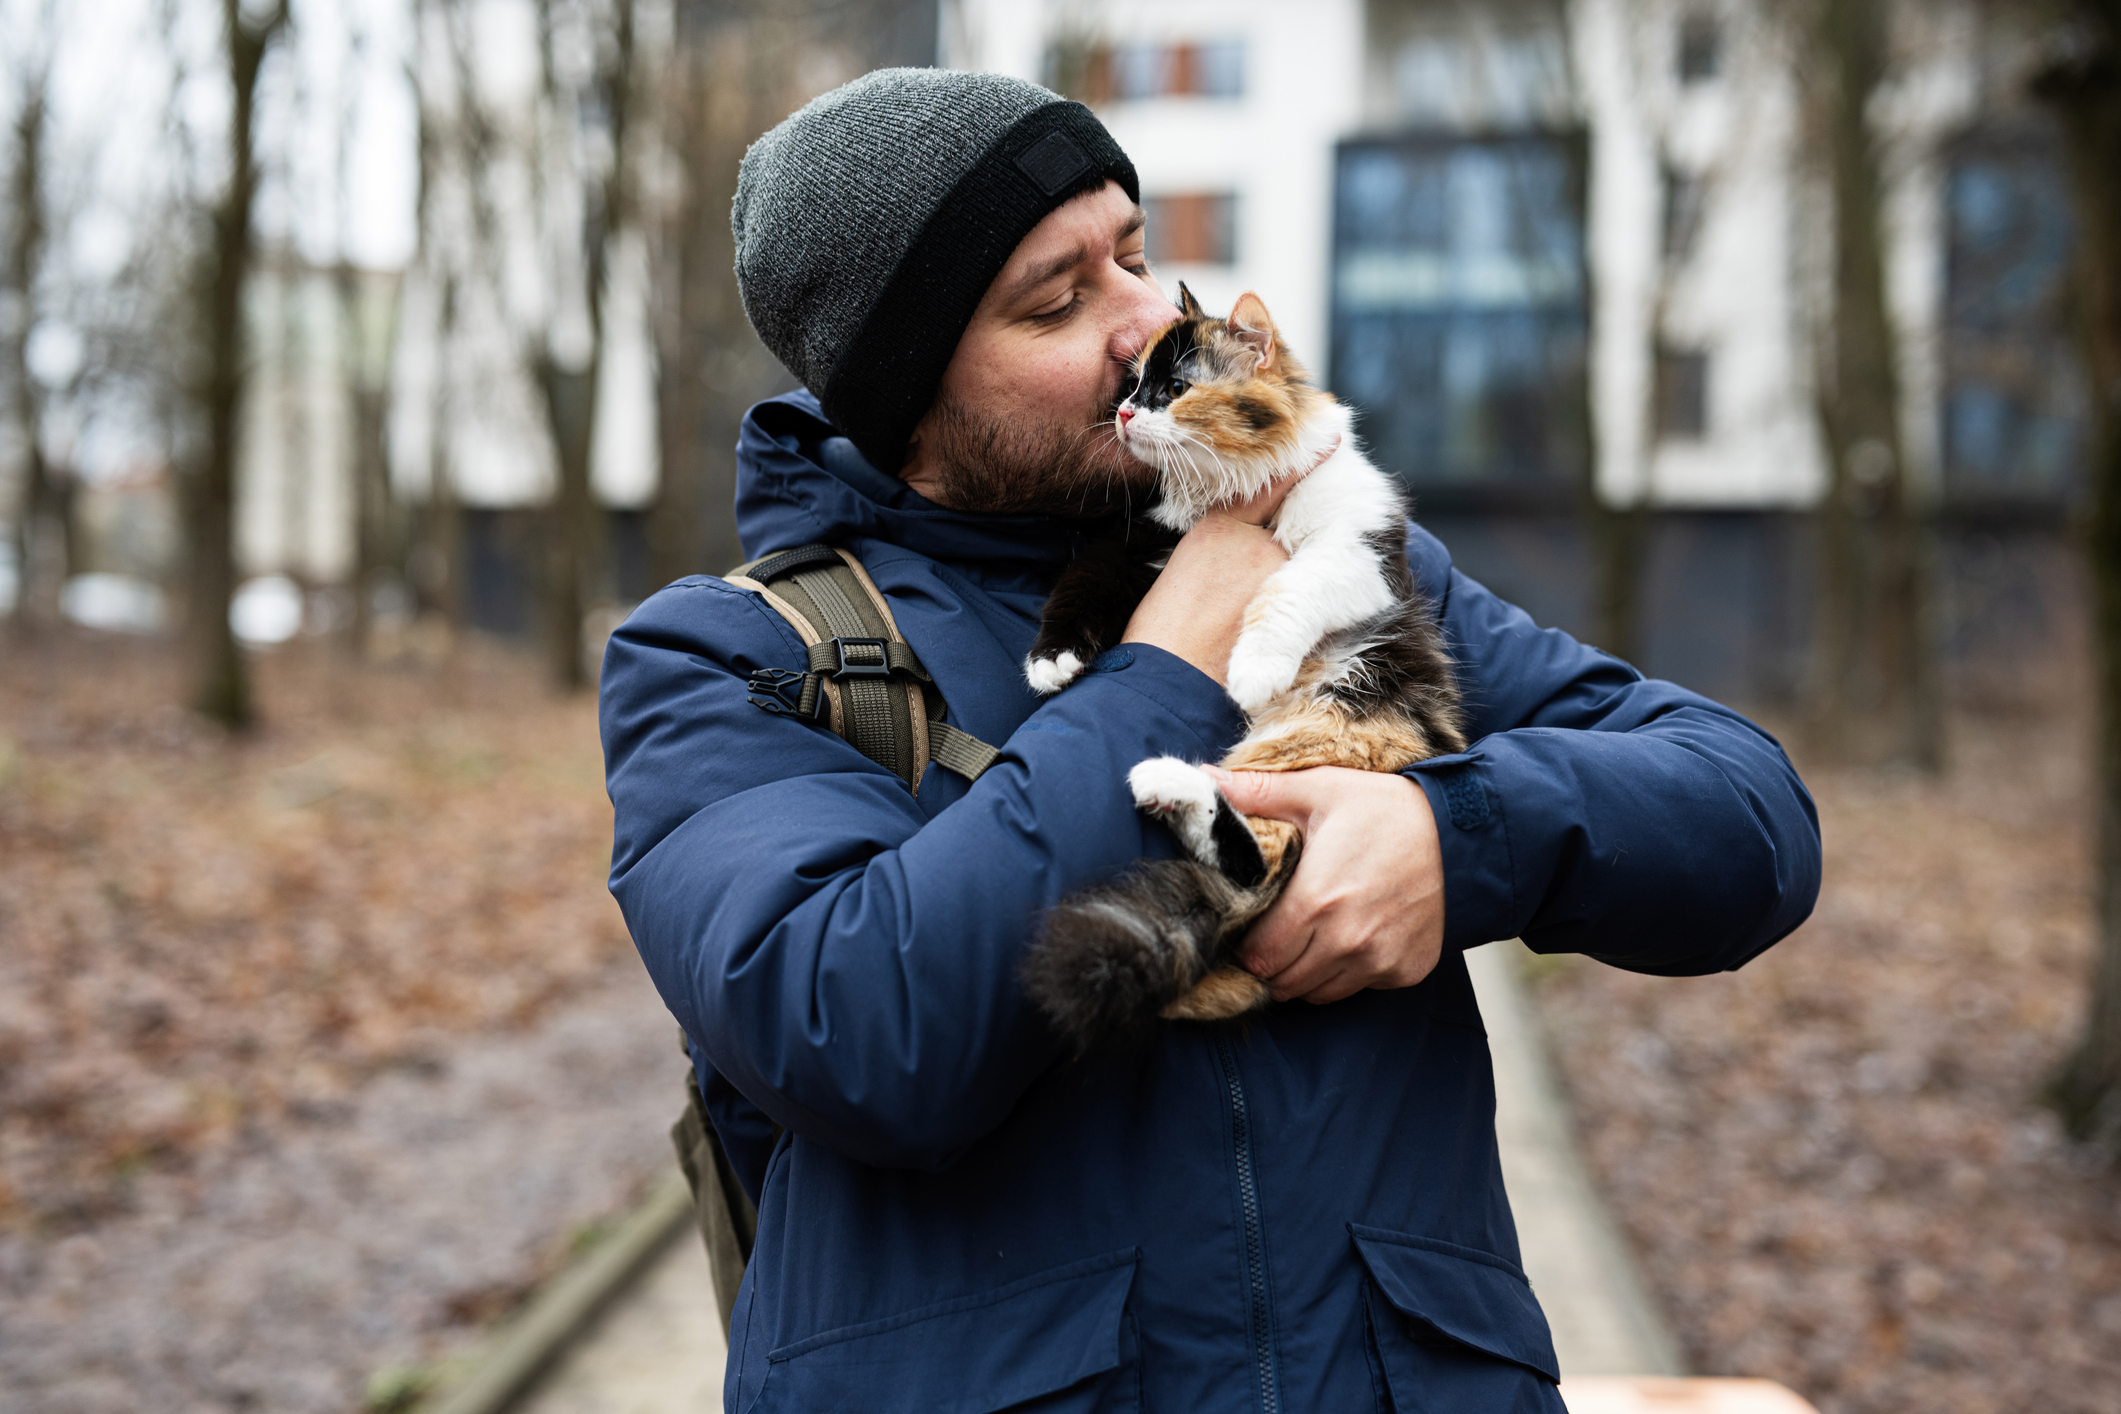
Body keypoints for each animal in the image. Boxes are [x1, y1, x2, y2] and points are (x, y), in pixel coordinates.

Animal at [1022, 288, 1459, 1055]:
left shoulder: (1356, 554)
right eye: (1132, 385)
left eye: (1174, 389)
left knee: (1262, 866)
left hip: (1327, 739)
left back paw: (1168, 780)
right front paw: (1053, 661)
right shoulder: (1135, 542)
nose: (1125, 413)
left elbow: (1286, 588)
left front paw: (1253, 669)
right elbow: (1078, 584)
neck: (1220, 490)